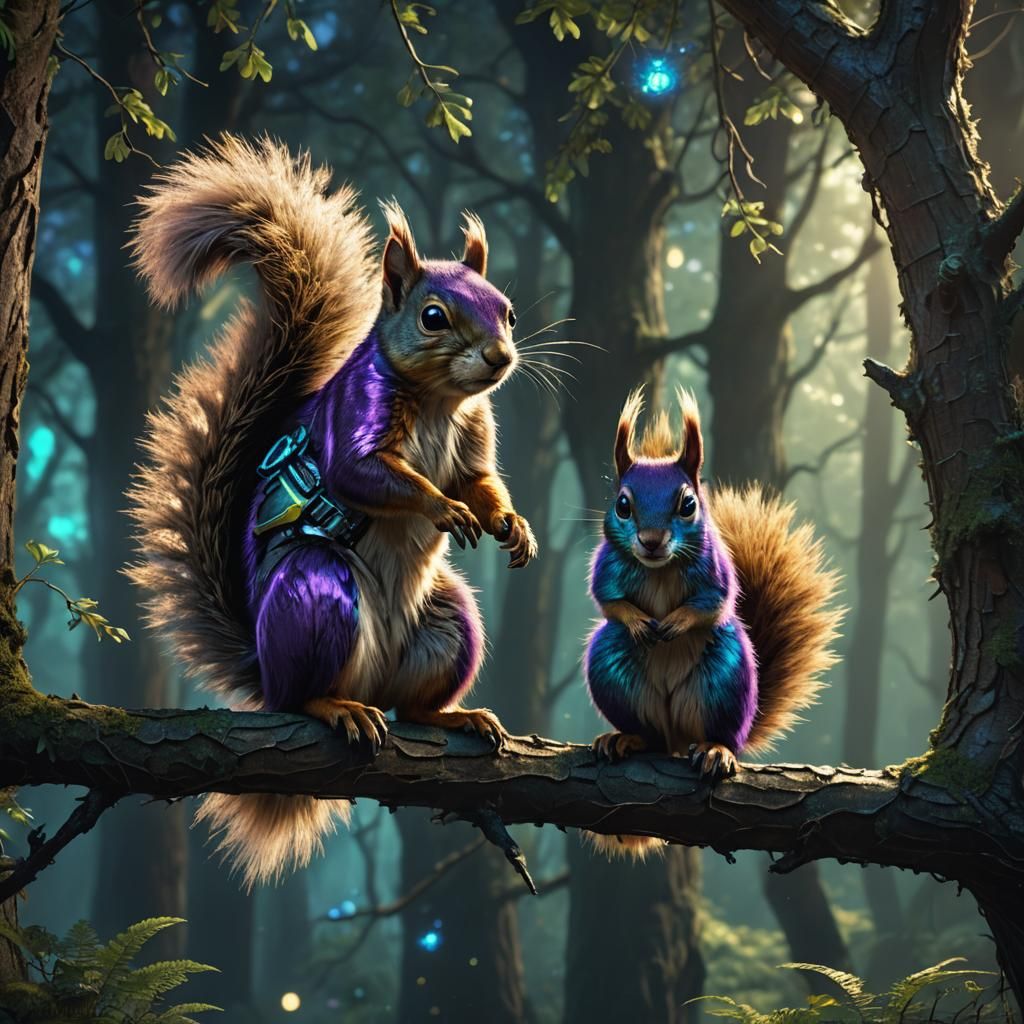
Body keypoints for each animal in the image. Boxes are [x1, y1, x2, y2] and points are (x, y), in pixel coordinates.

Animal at [125, 135, 537, 888]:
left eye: (509, 311)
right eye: (433, 317)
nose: (500, 356)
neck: (440, 401)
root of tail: (264, 664)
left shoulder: (474, 439)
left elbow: (482, 482)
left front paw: (510, 526)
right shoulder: (355, 421)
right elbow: (368, 476)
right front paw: (444, 510)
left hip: (449, 622)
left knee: (413, 704)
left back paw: (454, 718)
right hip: (316, 594)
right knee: (302, 697)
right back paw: (336, 707)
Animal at [583, 387, 842, 859]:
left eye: (688, 504)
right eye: (622, 505)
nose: (651, 542)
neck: (660, 569)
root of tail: (675, 737)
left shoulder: (717, 572)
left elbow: (712, 603)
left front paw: (675, 623)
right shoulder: (606, 567)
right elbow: (609, 601)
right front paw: (639, 622)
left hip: (725, 680)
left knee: (720, 735)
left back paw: (716, 751)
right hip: (613, 671)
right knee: (648, 734)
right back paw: (626, 738)